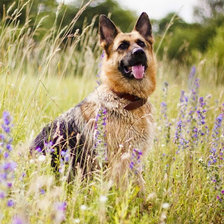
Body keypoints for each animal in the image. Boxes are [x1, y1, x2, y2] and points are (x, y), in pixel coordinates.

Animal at [30, 12, 156, 187]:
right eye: (122, 46)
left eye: (141, 43)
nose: (139, 52)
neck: (126, 98)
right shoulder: (120, 160)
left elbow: (139, 185)